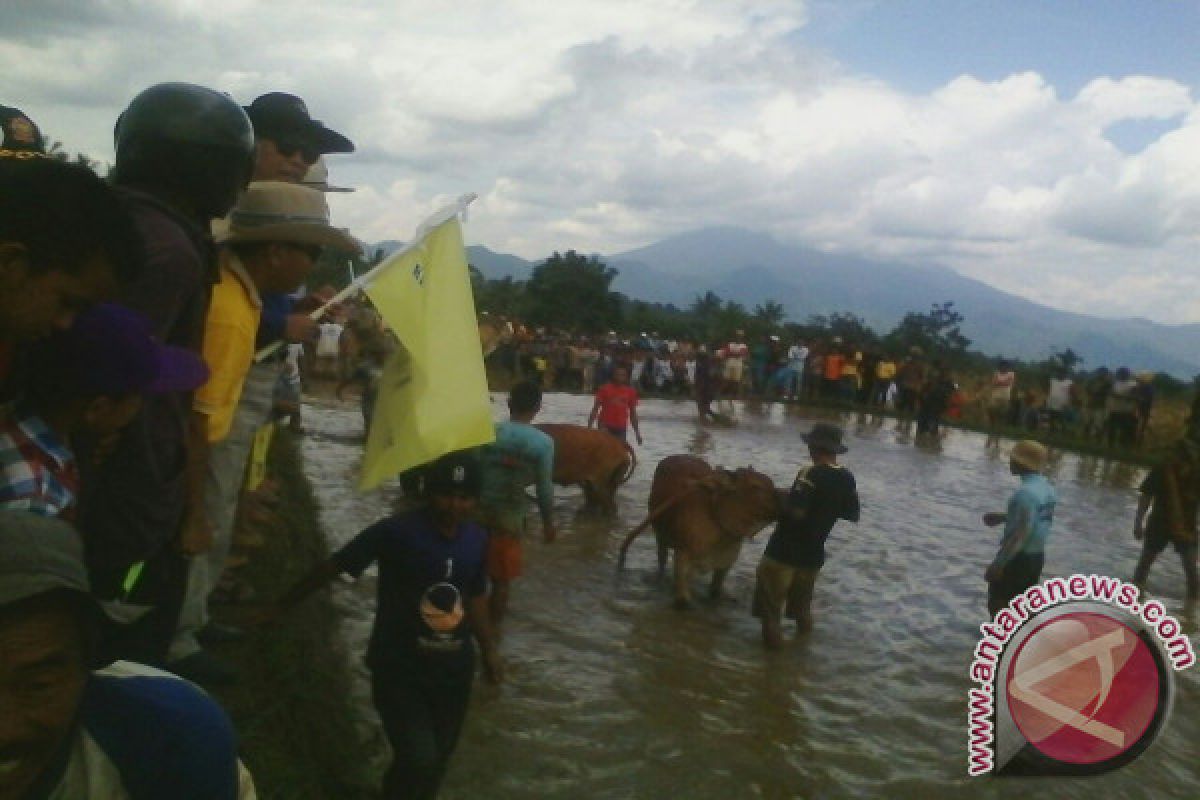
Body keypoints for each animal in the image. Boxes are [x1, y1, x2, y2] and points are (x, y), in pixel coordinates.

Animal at [619, 453, 777, 609]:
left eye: (771, 483)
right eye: (756, 486)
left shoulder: (726, 562)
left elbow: (716, 590)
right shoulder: (682, 556)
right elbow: (683, 599)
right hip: (660, 535)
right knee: (662, 559)